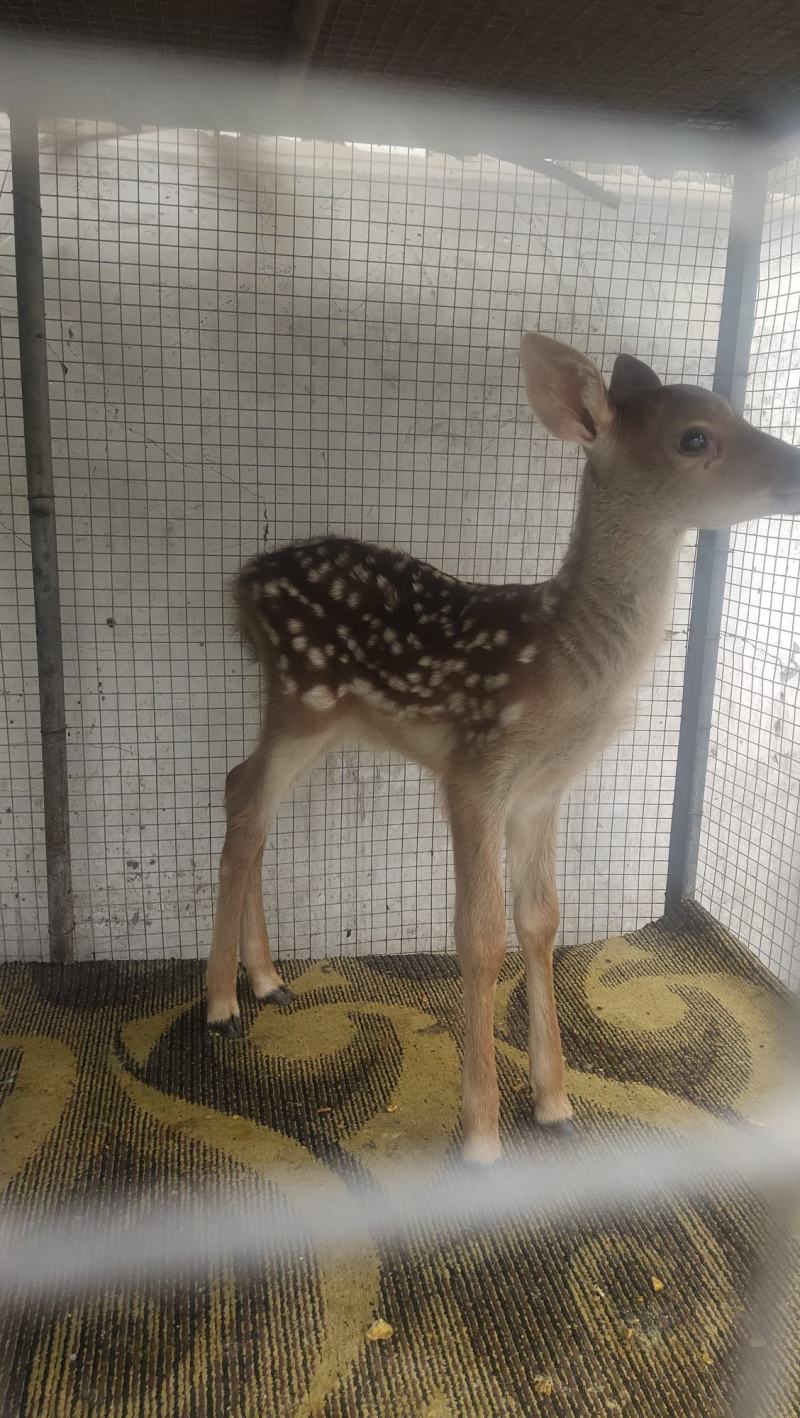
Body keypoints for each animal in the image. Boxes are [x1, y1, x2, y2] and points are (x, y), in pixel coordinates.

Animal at [206, 332, 800, 1164]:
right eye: (694, 437)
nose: (797, 467)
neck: (567, 664)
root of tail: (242, 582)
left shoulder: (544, 788)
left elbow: (542, 920)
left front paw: (555, 1102)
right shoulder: (475, 768)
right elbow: (480, 934)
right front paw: (481, 1134)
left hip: (323, 717)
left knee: (249, 796)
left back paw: (264, 980)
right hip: (303, 698)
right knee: (245, 796)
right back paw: (221, 1005)